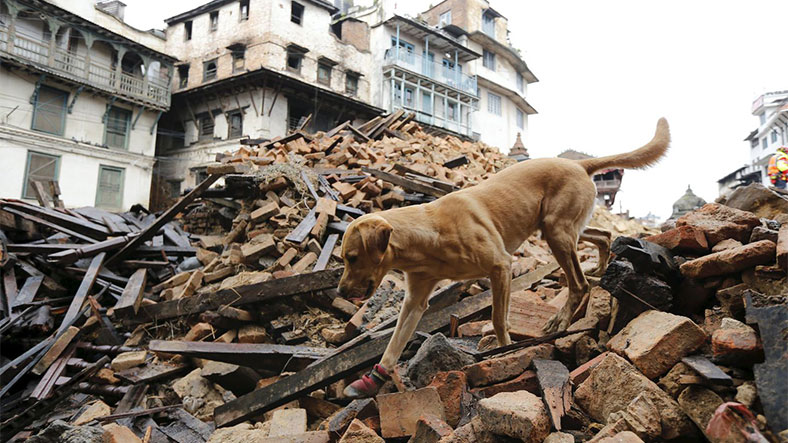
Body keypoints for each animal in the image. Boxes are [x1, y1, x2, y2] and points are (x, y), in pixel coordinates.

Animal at [338, 118, 672, 398]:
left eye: (352, 257)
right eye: (343, 258)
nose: (340, 291)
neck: (427, 234)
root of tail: (577, 164)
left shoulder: (501, 266)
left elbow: (499, 319)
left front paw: (503, 354)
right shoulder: (415, 299)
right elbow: (394, 343)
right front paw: (372, 379)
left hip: (557, 231)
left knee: (578, 284)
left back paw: (562, 319)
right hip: (558, 227)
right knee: (602, 235)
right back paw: (601, 267)